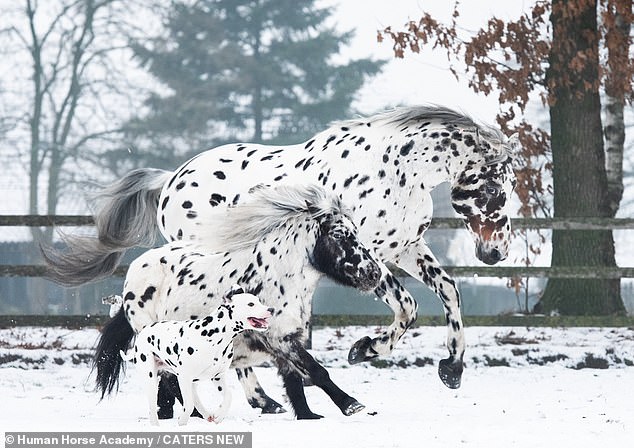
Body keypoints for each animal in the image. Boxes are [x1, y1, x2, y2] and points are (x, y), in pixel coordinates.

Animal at [44, 104, 520, 410]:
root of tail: (170, 179)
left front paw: (452, 369)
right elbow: (407, 307)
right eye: (495, 191)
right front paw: (364, 349)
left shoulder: (404, 248)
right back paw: (261, 400)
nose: (496, 253)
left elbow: (450, 292)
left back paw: (264, 400)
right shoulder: (368, 255)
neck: (396, 170)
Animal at [118, 286, 272, 426]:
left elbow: (228, 396)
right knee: (154, 408)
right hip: (152, 380)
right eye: (251, 304)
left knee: (196, 399)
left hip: (192, 382)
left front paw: (219, 415)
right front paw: (182, 422)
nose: (270, 309)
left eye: (259, 301)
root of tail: (144, 331)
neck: (215, 335)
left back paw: (207, 414)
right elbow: (189, 405)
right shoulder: (183, 378)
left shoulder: (217, 377)